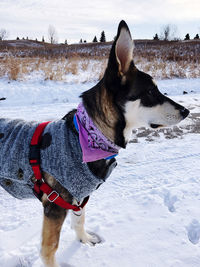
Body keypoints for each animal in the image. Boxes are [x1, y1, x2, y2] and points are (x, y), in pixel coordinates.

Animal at [0, 21, 189, 267]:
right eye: (150, 91)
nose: (186, 111)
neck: (87, 136)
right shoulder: (56, 205)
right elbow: (49, 249)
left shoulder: (79, 198)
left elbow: (79, 221)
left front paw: (84, 240)